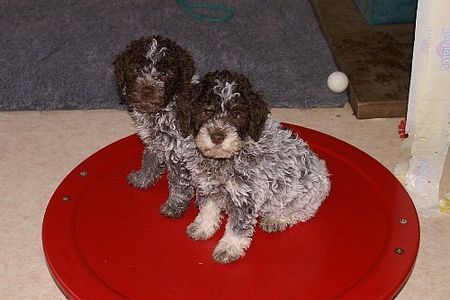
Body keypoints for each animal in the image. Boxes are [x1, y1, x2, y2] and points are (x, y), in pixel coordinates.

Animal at [112, 35, 195, 218]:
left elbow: (178, 183)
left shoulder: (178, 151)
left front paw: (174, 205)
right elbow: (149, 158)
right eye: (137, 69)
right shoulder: (155, 141)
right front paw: (143, 179)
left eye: (164, 73)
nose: (147, 90)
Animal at [179, 69, 330, 262]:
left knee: (302, 212)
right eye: (206, 111)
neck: (224, 160)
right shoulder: (207, 186)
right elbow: (208, 209)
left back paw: (276, 219)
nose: (217, 137)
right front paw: (203, 227)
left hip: (306, 195)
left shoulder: (245, 196)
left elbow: (237, 227)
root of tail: (321, 168)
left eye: (236, 115)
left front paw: (229, 247)